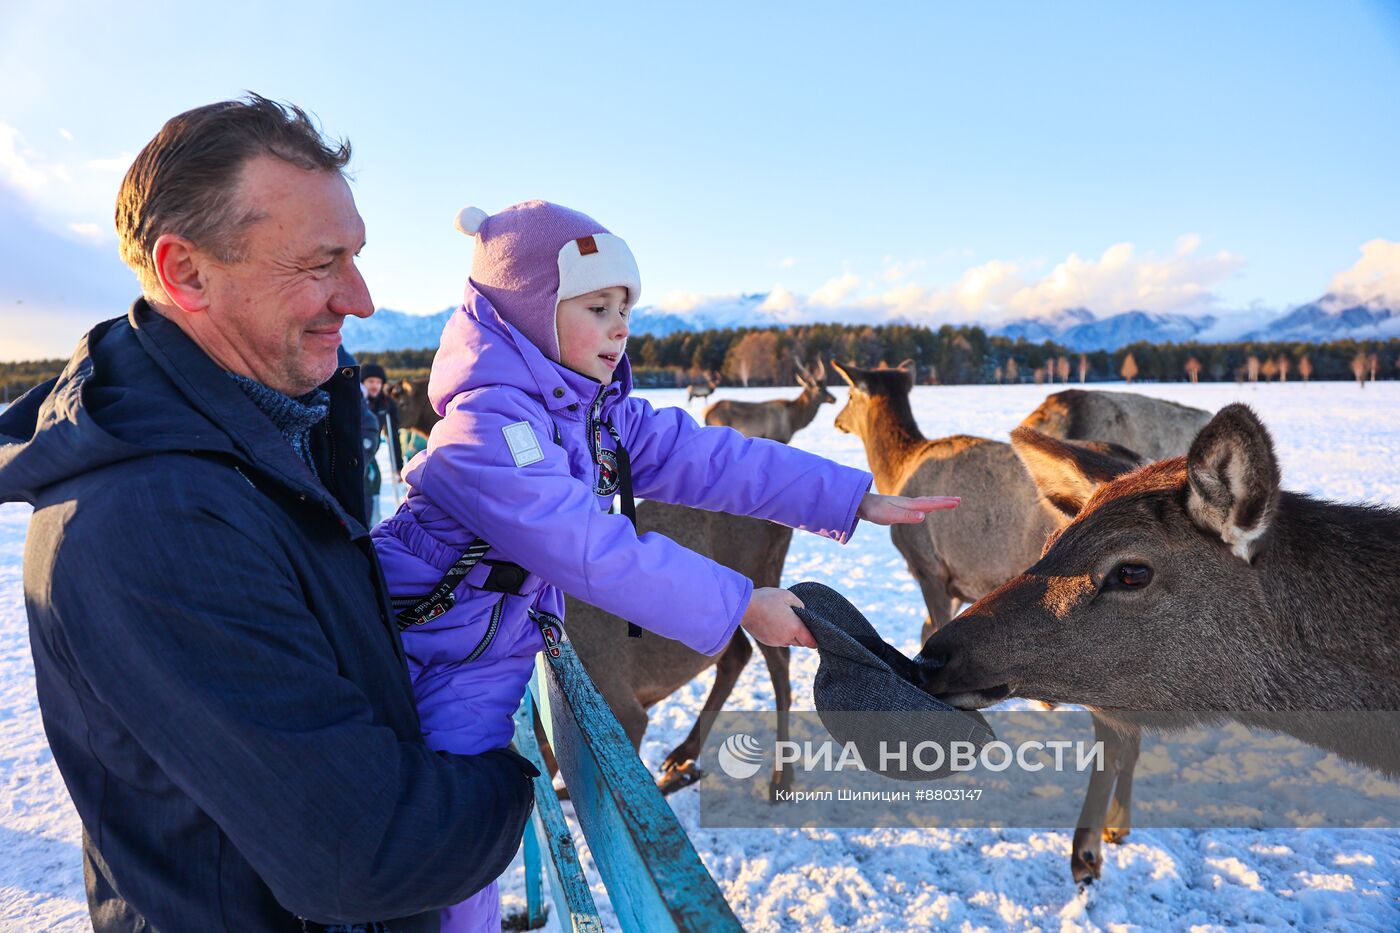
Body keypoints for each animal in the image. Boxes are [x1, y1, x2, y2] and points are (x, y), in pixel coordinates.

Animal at [705, 357, 834, 442]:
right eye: (819, 388)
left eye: (826, 386)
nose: (834, 398)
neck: (793, 422)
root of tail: (706, 413)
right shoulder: (776, 436)